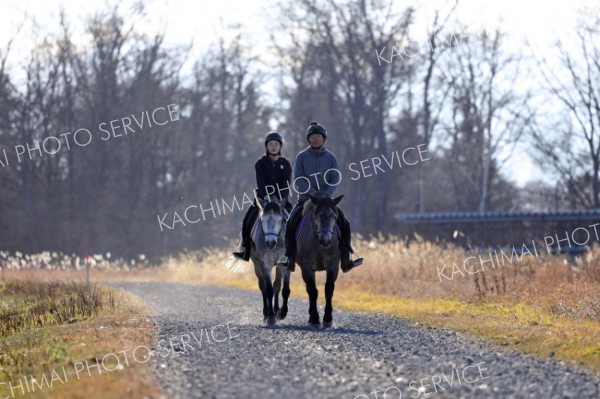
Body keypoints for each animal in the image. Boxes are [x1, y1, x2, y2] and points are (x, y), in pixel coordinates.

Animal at [251, 198, 290, 326]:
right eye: (262, 220)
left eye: (280, 220)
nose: (270, 243)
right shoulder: (265, 264)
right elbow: (268, 289)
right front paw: (271, 317)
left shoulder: (284, 263)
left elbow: (281, 287)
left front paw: (281, 313)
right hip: (257, 265)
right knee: (262, 286)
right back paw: (266, 313)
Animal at [294, 194, 342, 328]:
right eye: (317, 216)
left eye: (334, 216)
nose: (325, 240)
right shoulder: (307, 267)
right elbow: (312, 291)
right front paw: (315, 319)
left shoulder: (333, 265)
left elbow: (329, 289)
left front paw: (327, 319)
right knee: (309, 289)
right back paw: (311, 318)